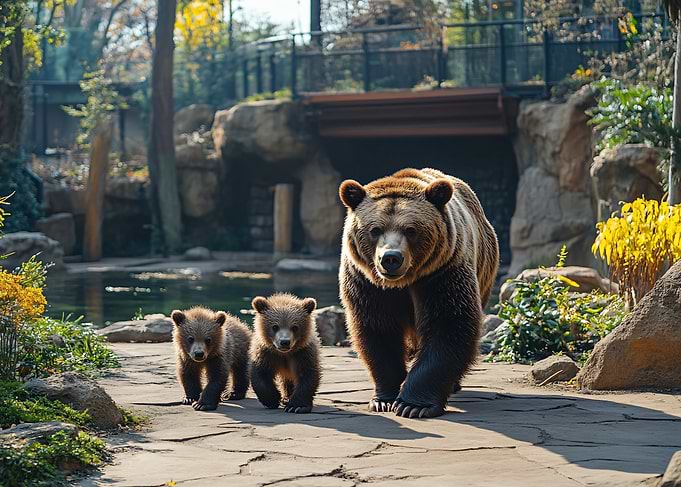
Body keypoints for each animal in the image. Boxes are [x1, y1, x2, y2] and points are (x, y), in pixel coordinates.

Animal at [338, 167, 499, 418]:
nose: (390, 258)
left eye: (410, 230)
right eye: (375, 230)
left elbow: (448, 324)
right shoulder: (367, 282)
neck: (402, 282)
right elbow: (378, 330)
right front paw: (384, 399)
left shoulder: (441, 272)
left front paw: (413, 405)